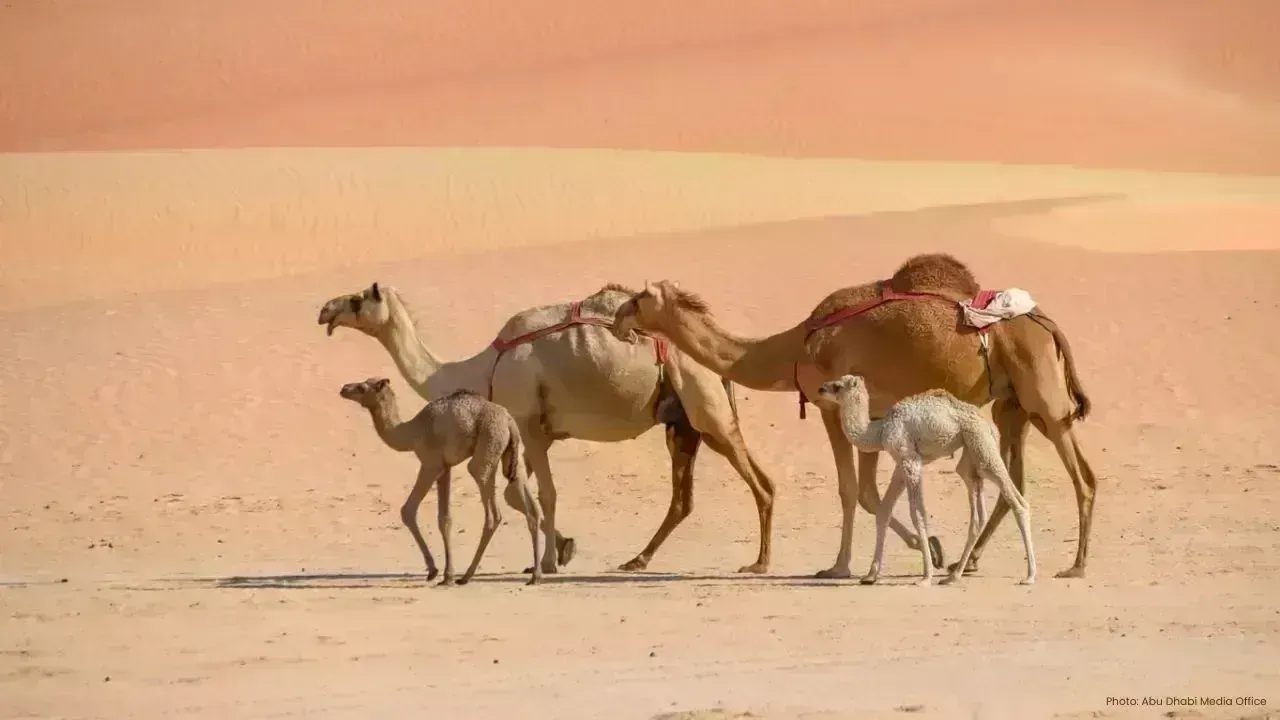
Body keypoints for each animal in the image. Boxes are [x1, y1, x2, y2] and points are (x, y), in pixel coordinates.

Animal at [339, 378, 545, 586]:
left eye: (362, 387)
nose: (344, 389)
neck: (411, 432)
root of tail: (509, 421)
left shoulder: (431, 464)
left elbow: (408, 510)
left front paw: (434, 571)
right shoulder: (445, 469)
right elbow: (444, 518)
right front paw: (447, 575)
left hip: (488, 446)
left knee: (492, 511)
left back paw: (467, 576)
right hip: (511, 456)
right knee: (531, 509)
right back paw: (535, 575)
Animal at [815, 375, 1036, 587]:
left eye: (837, 386)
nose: (820, 388)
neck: (879, 431)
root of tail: (987, 424)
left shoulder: (910, 461)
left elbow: (918, 514)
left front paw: (925, 577)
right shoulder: (900, 464)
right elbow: (884, 511)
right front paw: (871, 575)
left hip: (982, 447)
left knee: (1017, 502)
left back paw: (1030, 576)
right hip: (970, 456)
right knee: (978, 514)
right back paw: (953, 576)